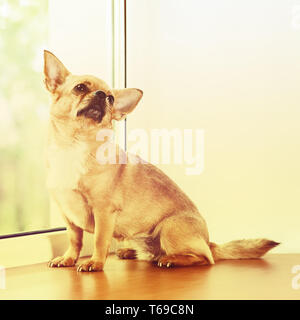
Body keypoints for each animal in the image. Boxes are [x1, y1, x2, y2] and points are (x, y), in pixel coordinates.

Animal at [44, 51, 278, 272]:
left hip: (169, 228)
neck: (74, 146)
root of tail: (209, 242)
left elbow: (100, 240)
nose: (102, 95)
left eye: (111, 99)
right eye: (80, 88)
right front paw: (68, 258)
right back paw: (130, 252)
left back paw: (171, 260)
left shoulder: (104, 212)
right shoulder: (68, 217)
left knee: (204, 259)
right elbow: (75, 240)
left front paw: (95, 263)